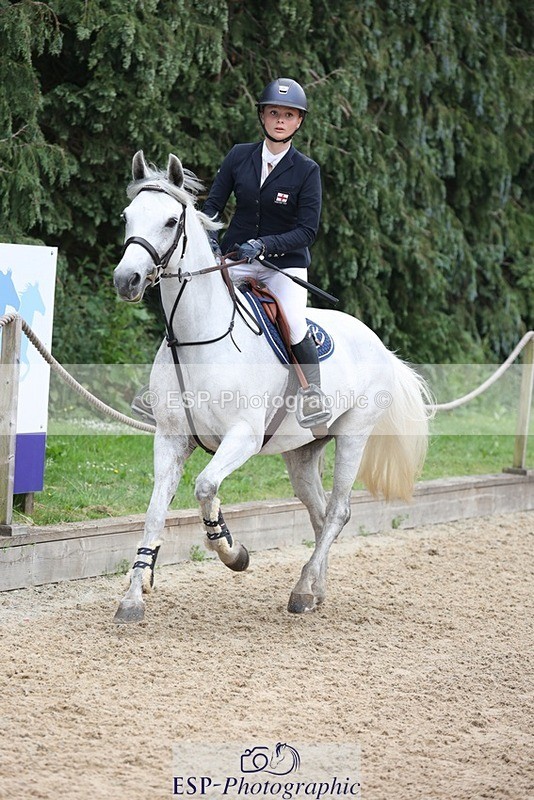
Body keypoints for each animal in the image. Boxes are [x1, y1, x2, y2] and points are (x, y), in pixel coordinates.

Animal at [112, 151, 432, 623]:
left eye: (171, 221)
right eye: (127, 216)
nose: (127, 280)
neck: (197, 338)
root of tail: (380, 345)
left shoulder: (242, 436)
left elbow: (205, 486)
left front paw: (233, 551)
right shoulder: (170, 439)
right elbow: (155, 512)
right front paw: (135, 594)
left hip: (354, 435)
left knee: (338, 511)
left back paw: (301, 591)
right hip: (304, 451)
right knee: (320, 512)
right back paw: (316, 590)